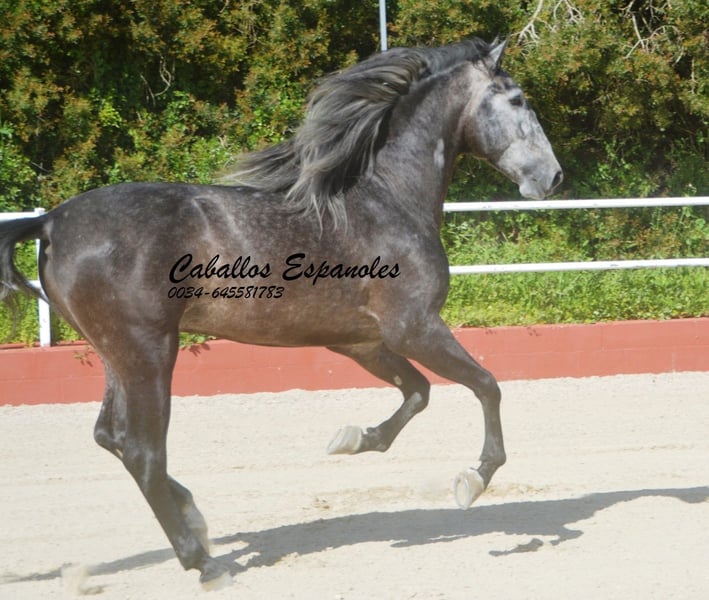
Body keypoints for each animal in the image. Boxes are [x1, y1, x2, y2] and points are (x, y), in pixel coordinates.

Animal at [0, 38, 562, 589]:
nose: (552, 177)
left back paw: (196, 519)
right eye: (518, 100)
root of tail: (52, 221)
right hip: (149, 352)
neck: (387, 201)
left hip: (117, 353)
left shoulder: (361, 341)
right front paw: (473, 479)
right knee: (141, 450)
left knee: (111, 438)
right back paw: (204, 563)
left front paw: (352, 440)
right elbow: (487, 385)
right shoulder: (415, 329)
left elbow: (418, 393)